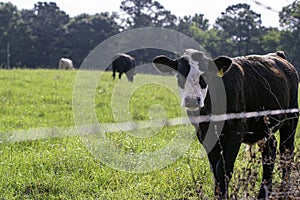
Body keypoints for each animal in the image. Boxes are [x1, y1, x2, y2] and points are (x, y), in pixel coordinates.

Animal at [154, 49, 298, 199]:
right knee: (270, 150)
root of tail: (278, 55)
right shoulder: (205, 135)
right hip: (264, 128)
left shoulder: (235, 134)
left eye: (206, 75)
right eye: (179, 75)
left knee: (286, 151)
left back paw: (284, 191)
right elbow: (215, 170)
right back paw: (263, 193)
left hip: (291, 118)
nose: (192, 100)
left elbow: (223, 170)